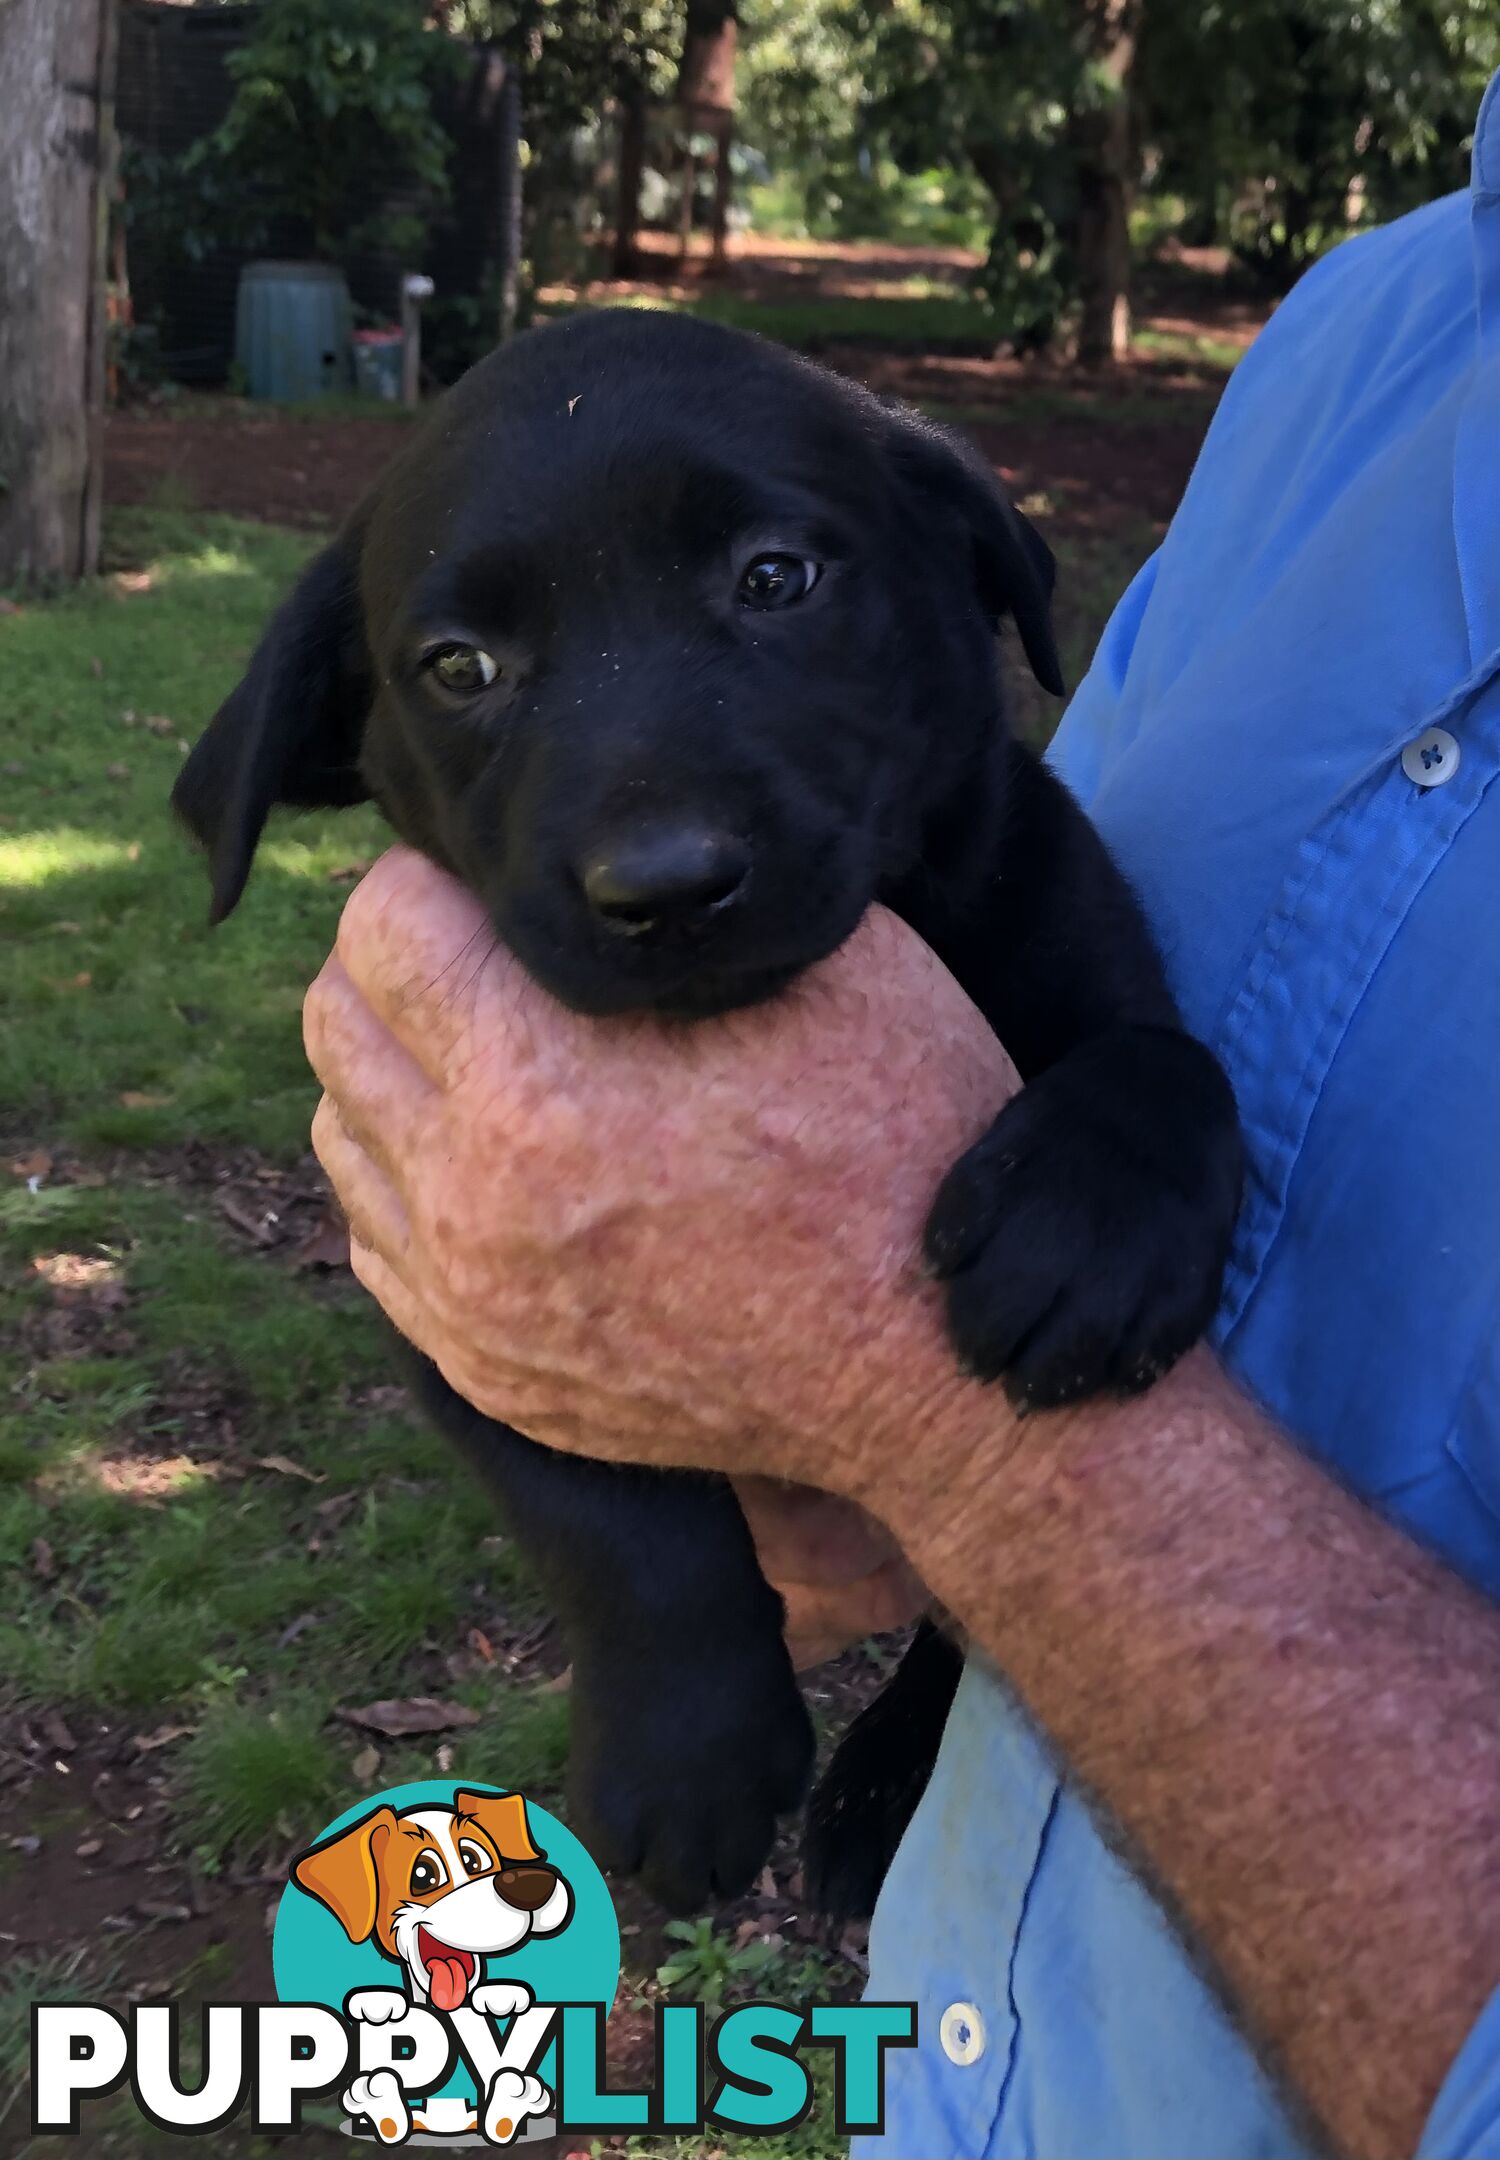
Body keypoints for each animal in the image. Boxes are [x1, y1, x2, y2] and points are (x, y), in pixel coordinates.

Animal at [172, 313, 1244, 1918]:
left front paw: (1090, 1233)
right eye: (459, 666)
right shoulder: (443, 1306)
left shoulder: (1072, 918)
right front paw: (686, 1765)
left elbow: (1165, 1066)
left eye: (776, 577)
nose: (664, 885)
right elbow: (620, 1530)